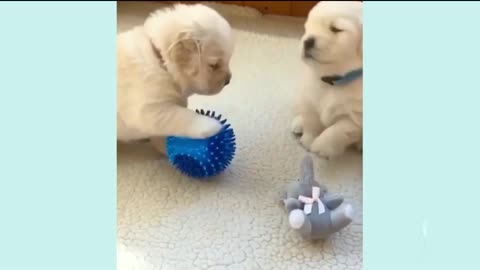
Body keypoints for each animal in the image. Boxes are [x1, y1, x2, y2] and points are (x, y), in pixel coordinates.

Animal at [118, 3, 234, 154]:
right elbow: (181, 116)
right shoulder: (148, 110)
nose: (228, 81)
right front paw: (212, 125)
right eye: (214, 65)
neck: (161, 61)